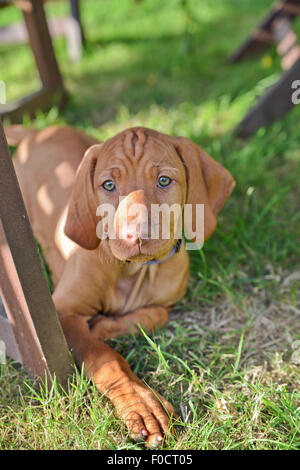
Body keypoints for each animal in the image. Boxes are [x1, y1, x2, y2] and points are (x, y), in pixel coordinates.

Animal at [6, 125, 234, 448]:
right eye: (109, 185)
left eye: (164, 180)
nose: (135, 234)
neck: (135, 271)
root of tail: (39, 131)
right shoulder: (60, 313)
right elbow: (106, 358)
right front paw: (142, 405)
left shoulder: (166, 302)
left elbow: (155, 315)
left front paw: (103, 326)